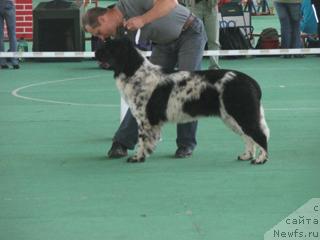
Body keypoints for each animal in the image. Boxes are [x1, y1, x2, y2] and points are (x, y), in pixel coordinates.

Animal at [95, 38, 270, 164]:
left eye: (109, 47)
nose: (95, 52)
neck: (135, 72)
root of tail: (251, 81)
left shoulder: (145, 119)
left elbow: (143, 140)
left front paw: (138, 157)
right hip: (231, 117)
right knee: (248, 137)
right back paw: (247, 156)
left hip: (242, 113)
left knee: (260, 135)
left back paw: (261, 159)